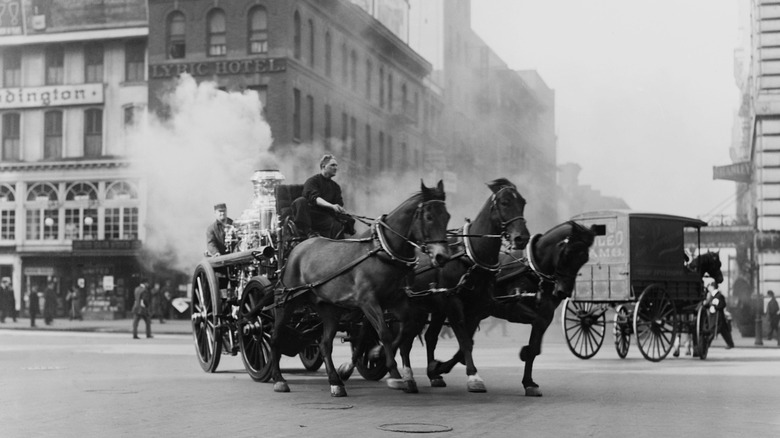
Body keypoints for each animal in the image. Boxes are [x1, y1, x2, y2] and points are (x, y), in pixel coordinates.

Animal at [270, 180, 450, 396]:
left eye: (447, 216)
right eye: (429, 217)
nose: (442, 256)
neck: (383, 250)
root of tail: (299, 247)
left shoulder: (395, 299)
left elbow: (407, 326)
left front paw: (378, 355)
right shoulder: (368, 301)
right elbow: (384, 333)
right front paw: (393, 372)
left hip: (328, 308)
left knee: (324, 343)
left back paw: (335, 381)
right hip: (287, 301)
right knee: (275, 336)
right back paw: (278, 378)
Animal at [390, 178, 532, 394]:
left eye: (523, 202)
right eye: (505, 202)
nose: (521, 238)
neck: (472, 257)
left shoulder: (477, 307)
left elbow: (468, 341)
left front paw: (439, 367)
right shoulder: (454, 303)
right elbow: (464, 341)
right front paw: (473, 376)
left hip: (433, 310)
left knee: (429, 337)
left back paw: (433, 375)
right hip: (414, 310)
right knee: (405, 341)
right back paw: (407, 376)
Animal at [426, 221, 596, 396]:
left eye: (584, 258)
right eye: (567, 253)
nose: (563, 292)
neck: (534, 270)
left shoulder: (546, 315)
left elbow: (535, 347)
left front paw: (529, 382)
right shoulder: (511, 307)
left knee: (436, 337)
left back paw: (436, 373)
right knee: (434, 336)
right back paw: (435, 372)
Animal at [564, 210, 724, 362]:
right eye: (718, 264)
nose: (721, 279)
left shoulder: (680, 307)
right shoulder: (687, 305)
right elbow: (693, 325)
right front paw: (698, 346)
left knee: (590, 319)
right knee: (663, 323)